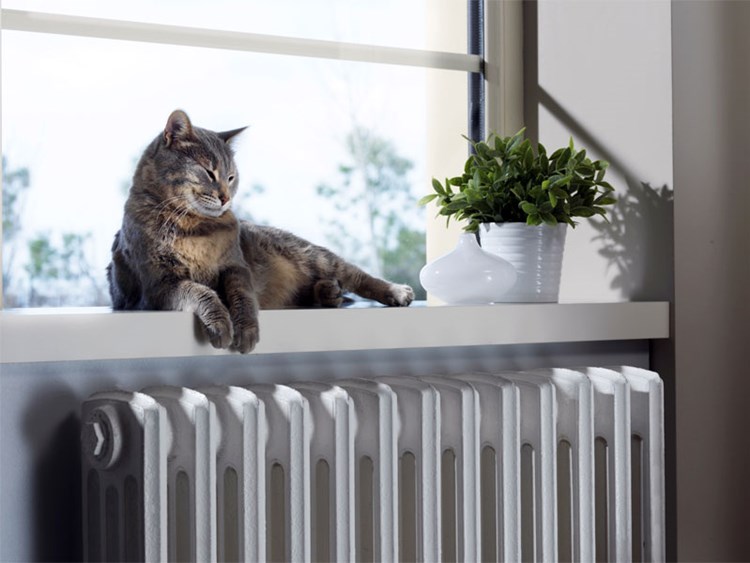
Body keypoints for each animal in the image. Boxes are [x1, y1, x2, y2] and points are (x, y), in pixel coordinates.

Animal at [108, 109, 418, 352]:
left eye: (231, 177)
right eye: (209, 172)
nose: (225, 198)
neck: (194, 228)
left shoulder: (235, 266)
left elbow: (242, 295)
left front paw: (245, 329)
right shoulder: (160, 285)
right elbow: (199, 291)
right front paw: (220, 322)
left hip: (310, 254)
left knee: (355, 274)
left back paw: (393, 290)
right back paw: (328, 291)